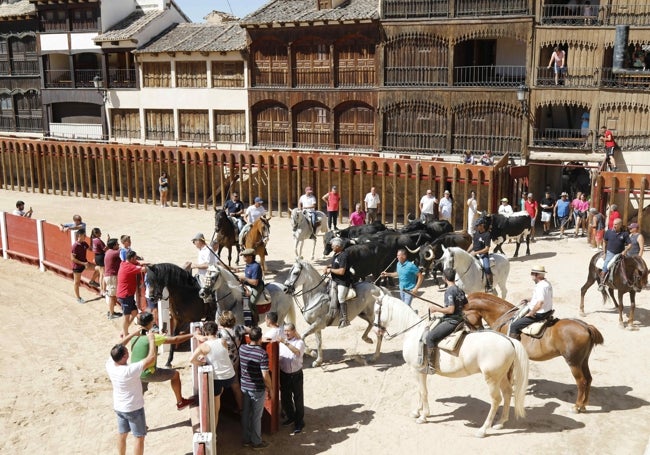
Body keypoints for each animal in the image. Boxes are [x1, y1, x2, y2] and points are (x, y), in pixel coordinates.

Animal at [372, 294, 524, 440]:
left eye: (376, 311)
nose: (375, 331)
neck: (414, 332)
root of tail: (509, 340)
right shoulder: (419, 371)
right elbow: (420, 391)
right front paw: (417, 412)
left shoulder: (416, 370)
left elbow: (423, 392)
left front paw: (423, 416)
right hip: (501, 376)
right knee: (507, 392)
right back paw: (500, 423)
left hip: (492, 379)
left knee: (496, 400)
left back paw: (483, 430)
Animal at [464, 294, 600, 416]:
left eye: (464, 317)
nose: (475, 331)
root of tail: (586, 326)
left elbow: (508, 374)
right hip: (583, 361)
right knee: (589, 379)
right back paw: (583, 406)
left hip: (573, 362)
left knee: (581, 382)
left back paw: (577, 407)